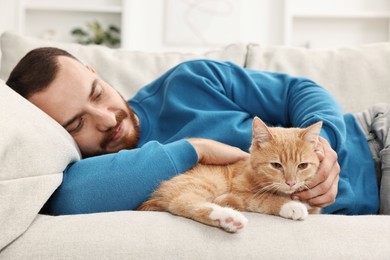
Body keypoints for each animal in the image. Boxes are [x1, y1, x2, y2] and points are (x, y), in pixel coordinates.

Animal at [139, 117, 322, 233]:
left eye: (303, 166)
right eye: (276, 165)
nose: (291, 183)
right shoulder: (240, 192)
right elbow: (265, 198)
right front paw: (291, 206)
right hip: (207, 181)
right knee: (181, 201)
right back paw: (228, 217)